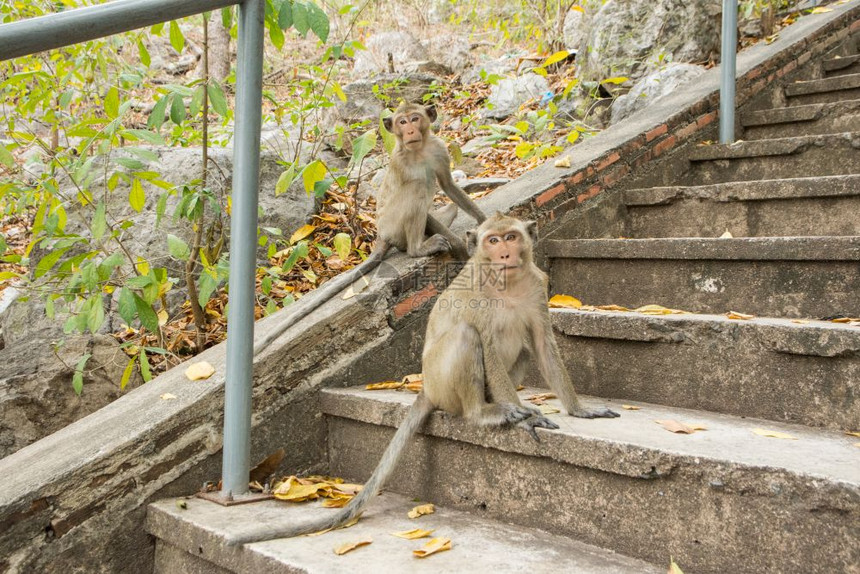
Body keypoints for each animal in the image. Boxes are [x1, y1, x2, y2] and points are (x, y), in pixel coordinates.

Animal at [230, 214, 620, 548]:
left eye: (511, 237)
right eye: (492, 240)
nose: (505, 253)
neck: (506, 283)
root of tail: (426, 389)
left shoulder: (538, 287)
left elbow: (541, 344)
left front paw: (580, 410)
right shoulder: (479, 297)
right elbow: (487, 344)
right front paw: (525, 419)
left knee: (522, 349)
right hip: (443, 383)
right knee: (466, 336)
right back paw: (486, 412)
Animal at [252, 103, 488, 356]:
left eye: (415, 118)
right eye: (402, 122)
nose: (410, 131)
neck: (418, 151)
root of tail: (381, 234)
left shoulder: (438, 149)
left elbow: (448, 185)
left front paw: (483, 221)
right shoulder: (402, 165)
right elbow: (421, 197)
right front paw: (460, 247)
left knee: (445, 205)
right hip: (394, 224)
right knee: (417, 189)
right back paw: (418, 248)